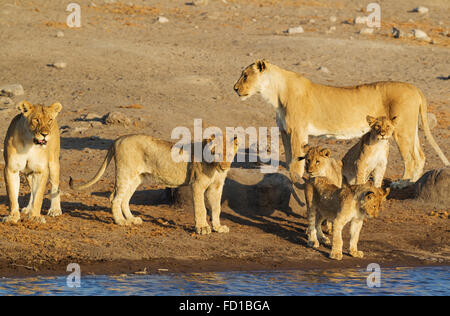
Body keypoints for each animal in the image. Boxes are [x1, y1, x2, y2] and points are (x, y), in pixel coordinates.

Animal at [70, 133, 239, 232]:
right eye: (216, 153)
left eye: (230, 154)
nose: (224, 167)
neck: (214, 167)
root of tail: (118, 139)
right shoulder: (197, 185)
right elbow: (201, 208)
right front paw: (203, 228)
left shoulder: (216, 187)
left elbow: (216, 208)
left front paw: (218, 227)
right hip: (125, 173)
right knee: (114, 198)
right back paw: (121, 221)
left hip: (136, 177)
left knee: (124, 199)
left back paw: (131, 219)